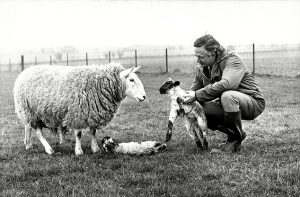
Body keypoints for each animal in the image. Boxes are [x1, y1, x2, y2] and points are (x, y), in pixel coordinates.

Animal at [13, 62, 146, 155]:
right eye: (131, 79)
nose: (144, 96)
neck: (99, 84)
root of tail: (25, 71)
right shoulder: (77, 113)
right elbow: (78, 134)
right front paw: (78, 151)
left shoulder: (92, 112)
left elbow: (93, 132)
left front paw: (95, 149)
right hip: (31, 112)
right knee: (38, 132)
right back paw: (49, 149)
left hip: (30, 113)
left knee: (28, 127)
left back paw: (28, 144)